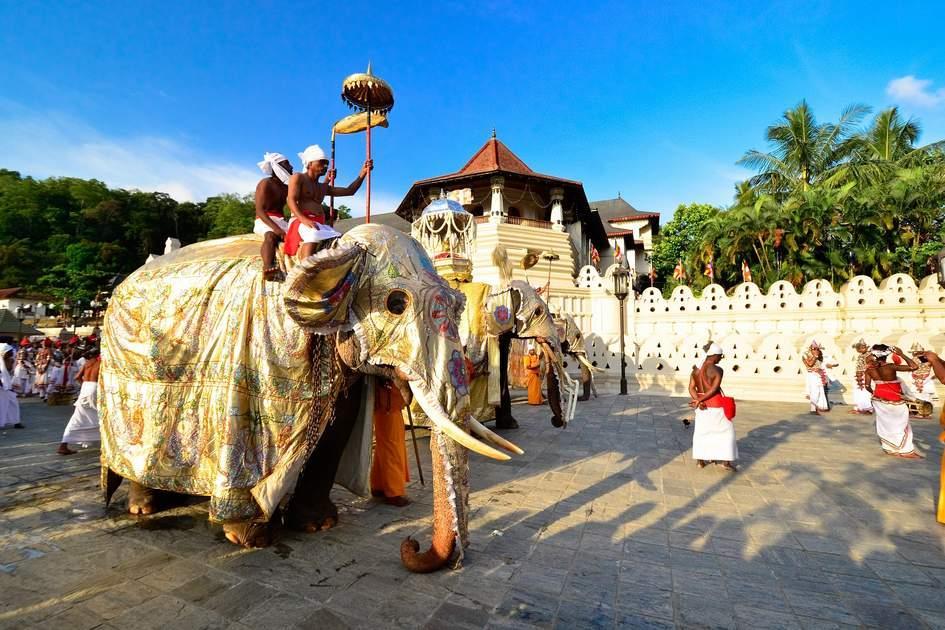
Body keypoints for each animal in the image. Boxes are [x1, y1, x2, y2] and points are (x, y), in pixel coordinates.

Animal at [98, 225, 520, 576]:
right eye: (396, 304)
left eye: (458, 303)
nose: (411, 544)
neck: (334, 251)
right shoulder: (264, 353)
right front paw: (249, 538)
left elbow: (334, 431)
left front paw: (319, 524)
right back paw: (144, 505)